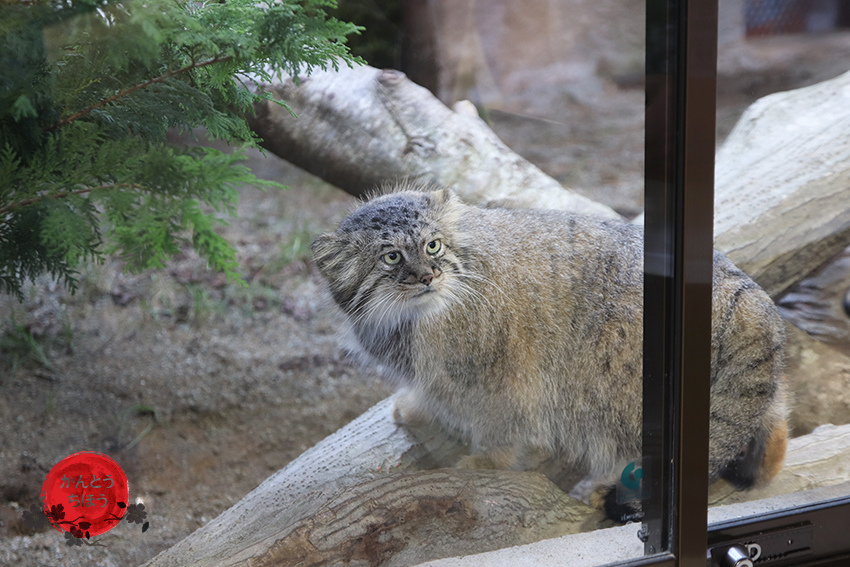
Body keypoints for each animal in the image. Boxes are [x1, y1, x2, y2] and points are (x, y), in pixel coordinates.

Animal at [312, 186, 788, 524]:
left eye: (433, 246)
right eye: (391, 257)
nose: (428, 275)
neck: (413, 319)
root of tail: (749, 300)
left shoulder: (502, 374)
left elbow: (500, 426)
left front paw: (485, 463)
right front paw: (417, 407)